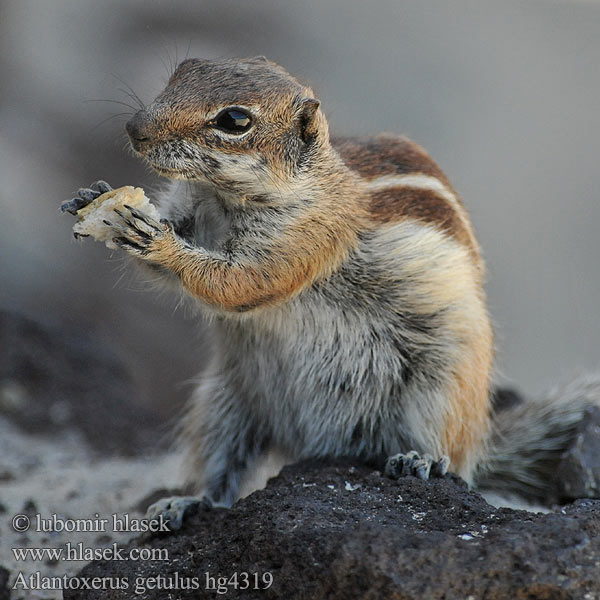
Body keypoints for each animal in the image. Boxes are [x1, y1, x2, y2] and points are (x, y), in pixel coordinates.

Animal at [63, 56, 600, 524]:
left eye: (235, 120)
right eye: (181, 70)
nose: (135, 129)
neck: (227, 198)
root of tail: (321, 444)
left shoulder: (306, 238)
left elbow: (239, 282)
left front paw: (159, 242)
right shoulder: (193, 206)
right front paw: (96, 198)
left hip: (444, 384)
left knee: (455, 454)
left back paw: (421, 460)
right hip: (224, 403)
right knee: (221, 470)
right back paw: (189, 504)